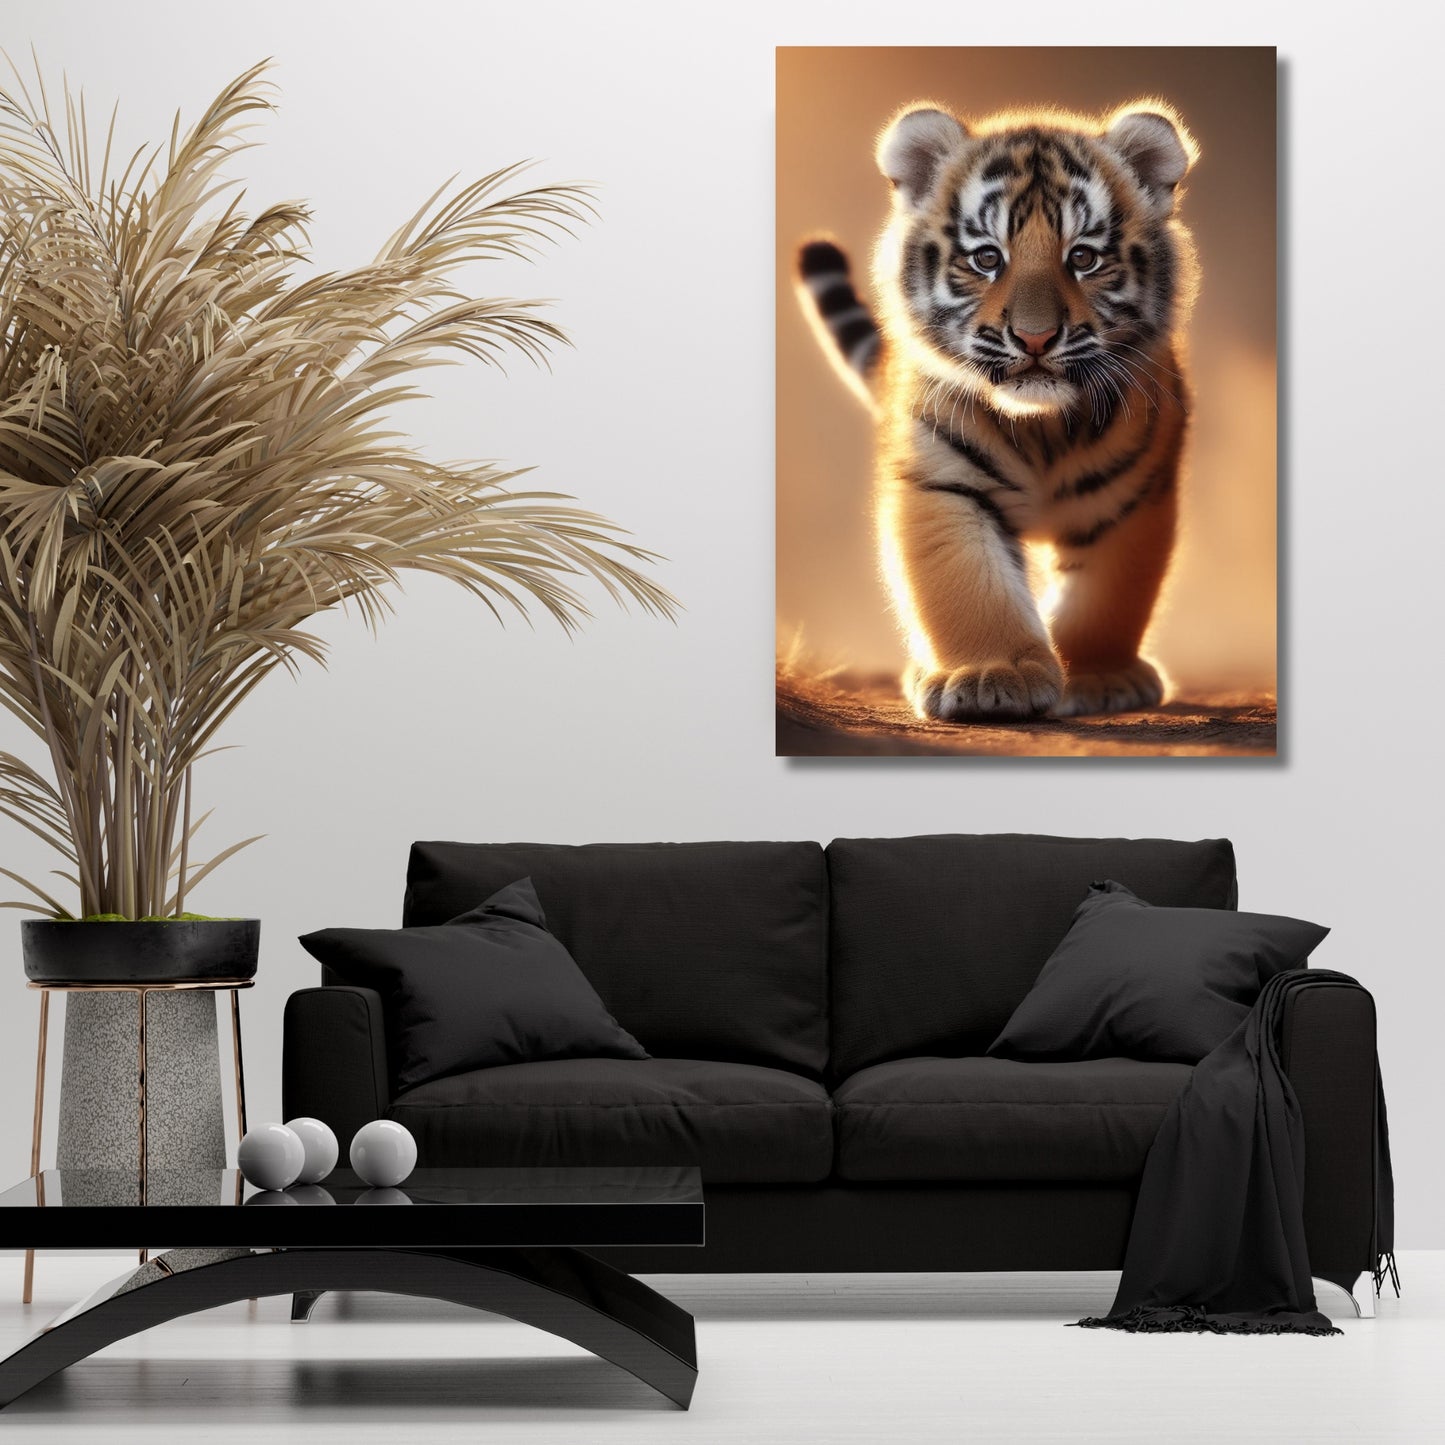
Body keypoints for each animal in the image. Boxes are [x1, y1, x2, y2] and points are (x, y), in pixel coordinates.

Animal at [796, 100, 1199, 721]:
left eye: (1083, 257)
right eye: (987, 257)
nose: (1035, 338)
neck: (1044, 427)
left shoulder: (1129, 500)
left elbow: (1105, 599)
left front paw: (1098, 679)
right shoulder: (945, 483)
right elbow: (968, 588)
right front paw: (992, 677)